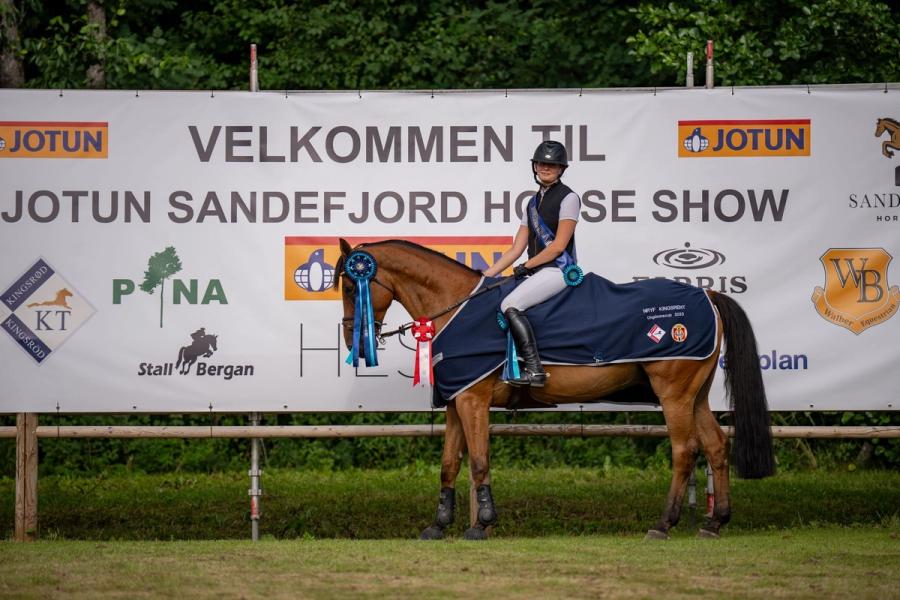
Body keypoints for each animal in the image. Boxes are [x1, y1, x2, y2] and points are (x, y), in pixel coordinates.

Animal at [336, 238, 774, 540]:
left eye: (351, 287)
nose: (350, 339)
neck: (455, 307)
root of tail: (708, 294)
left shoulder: (474, 400)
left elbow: (478, 462)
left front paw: (482, 525)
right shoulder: (457, 401)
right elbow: (449, 465)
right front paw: (438, 526)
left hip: (674, 393)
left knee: (685, 451)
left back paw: (663, 524)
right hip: (694, 395)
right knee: (715, 445)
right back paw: (715, 523)